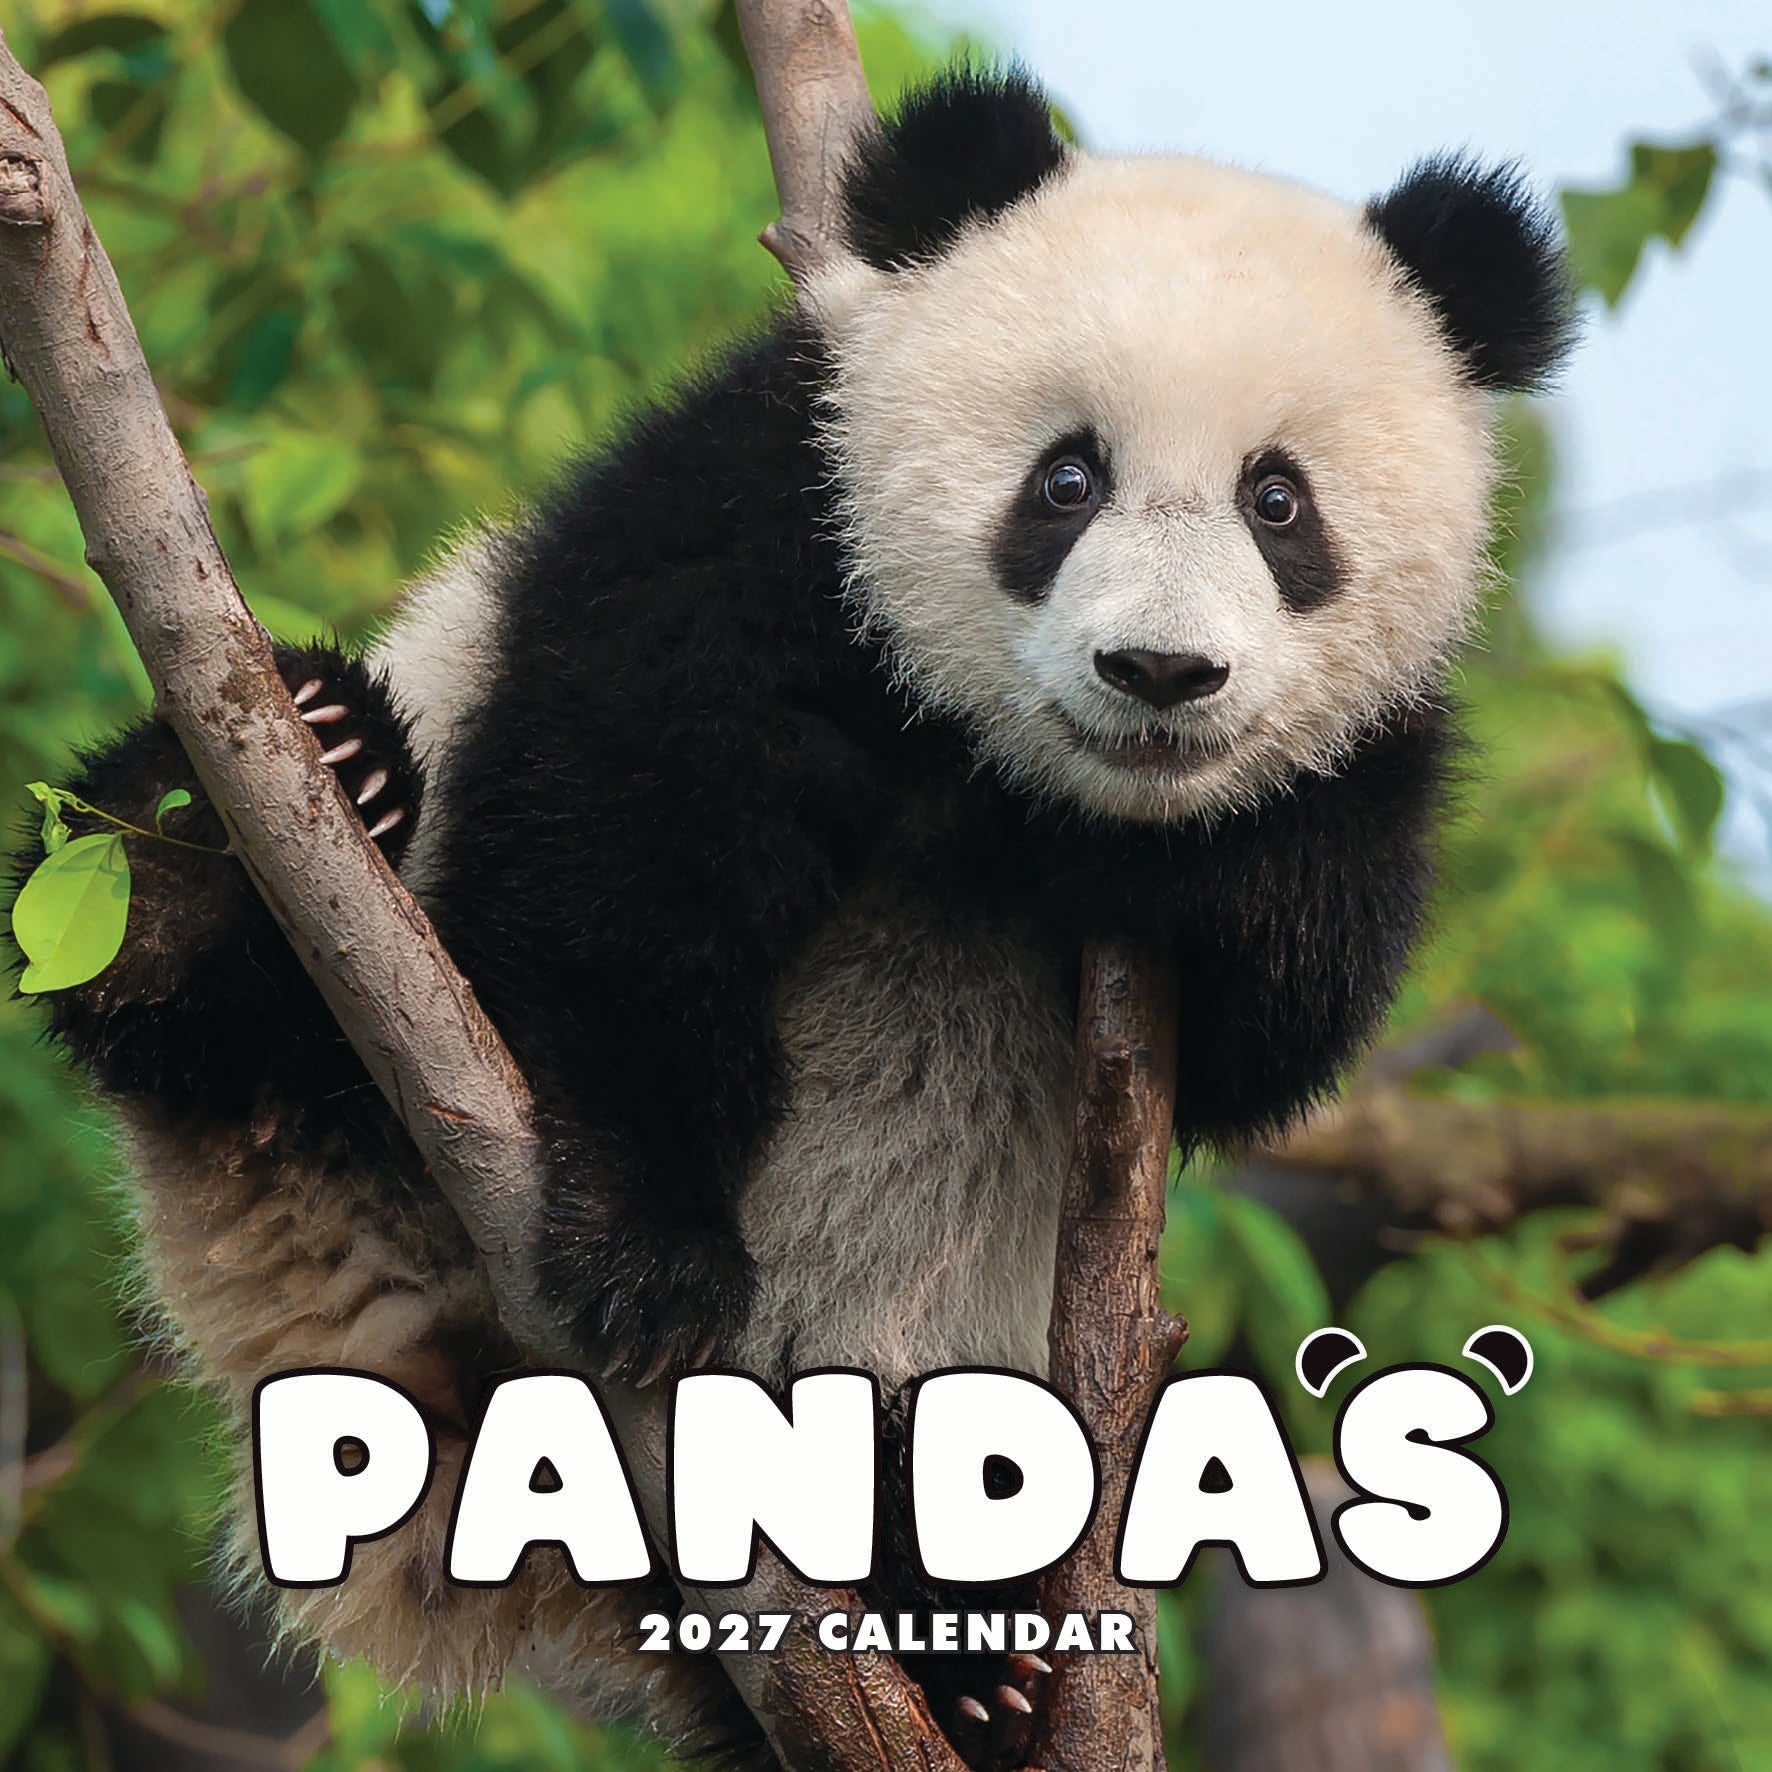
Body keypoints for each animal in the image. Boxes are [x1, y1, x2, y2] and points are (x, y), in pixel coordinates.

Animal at [17, 66, 1571, 1772]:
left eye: (1278, 502)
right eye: (1067, 478)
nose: (1159, 675)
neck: (1008, 774)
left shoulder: (1358, 781)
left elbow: (1276, 1014)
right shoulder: (775, 507)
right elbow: (628, 836)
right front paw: (651, 1248)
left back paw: (951, 1637)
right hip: (329, 1037)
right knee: (208, 981)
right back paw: (248, 821)